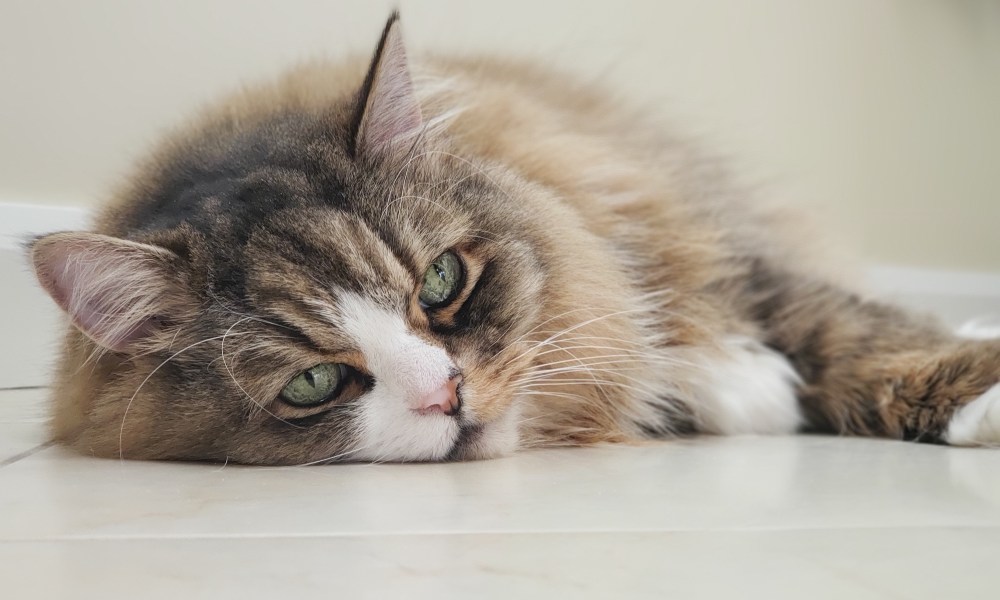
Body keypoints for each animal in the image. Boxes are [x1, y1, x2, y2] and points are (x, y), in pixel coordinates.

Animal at [25, 12, 1000, 464]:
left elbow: (858, 336)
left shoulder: (693, 243)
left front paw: (978, 392)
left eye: (440, 283)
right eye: (311, 382)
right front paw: (740, 387)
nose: (447, 395)